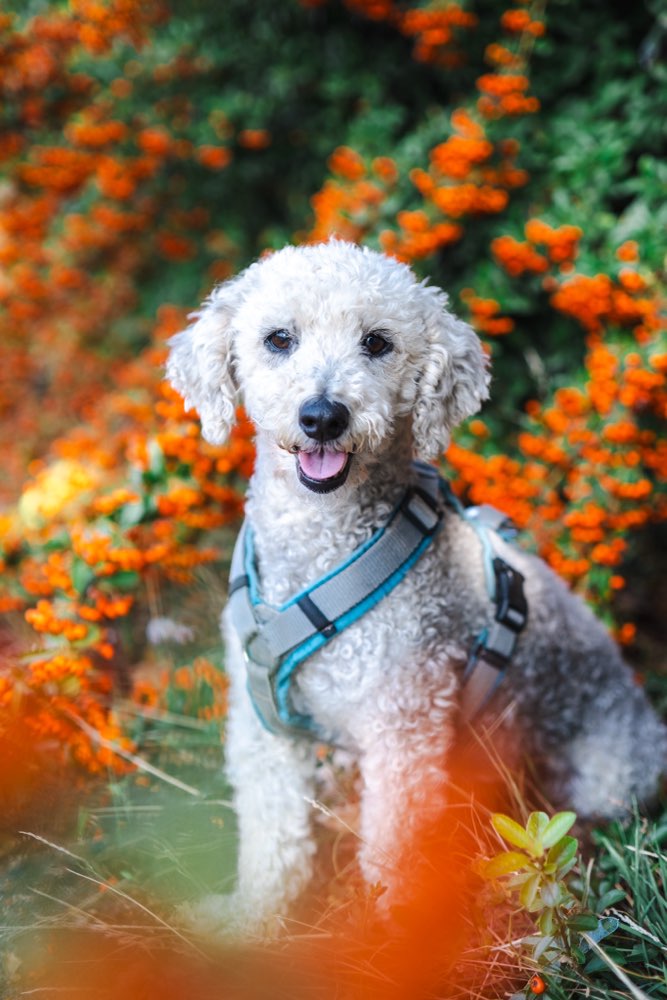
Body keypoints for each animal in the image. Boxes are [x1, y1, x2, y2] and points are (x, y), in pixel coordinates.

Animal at [168, 238, 667, 932]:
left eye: (377, 342)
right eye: (278, 338)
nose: (323, 415)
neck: (322, 557)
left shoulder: (405, 728)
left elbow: (395, 854)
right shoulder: (263, 728)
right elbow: (272, 839)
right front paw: (251, 921)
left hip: (607, 774)